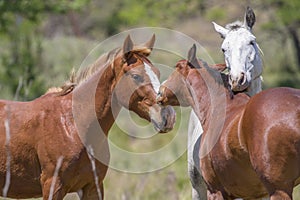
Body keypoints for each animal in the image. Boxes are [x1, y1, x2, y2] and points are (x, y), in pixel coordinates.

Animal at [0, 35, 176, 199]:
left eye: (158, 73)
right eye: (135, 76)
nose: (168, 116)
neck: (73, 124)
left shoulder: (92, 187)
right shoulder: (53, 186)